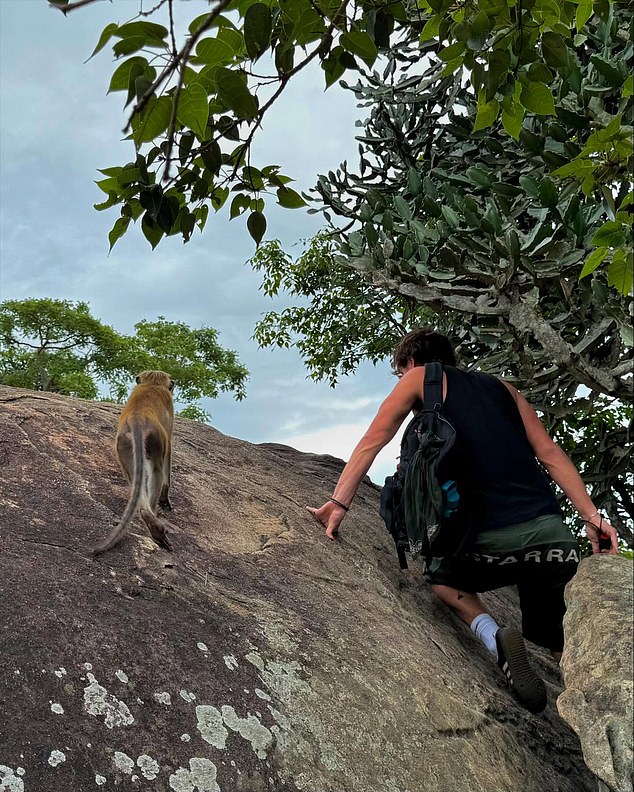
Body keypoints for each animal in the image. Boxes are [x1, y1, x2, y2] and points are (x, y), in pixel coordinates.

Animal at [92, 372, 174, 556]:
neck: (152, 384)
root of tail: (137, 417)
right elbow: (169, 453)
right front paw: (165, 499)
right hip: (155, 440)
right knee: (157, 470)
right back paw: (154, 517)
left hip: (123, 445)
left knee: (133, 476)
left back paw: (149, 519)